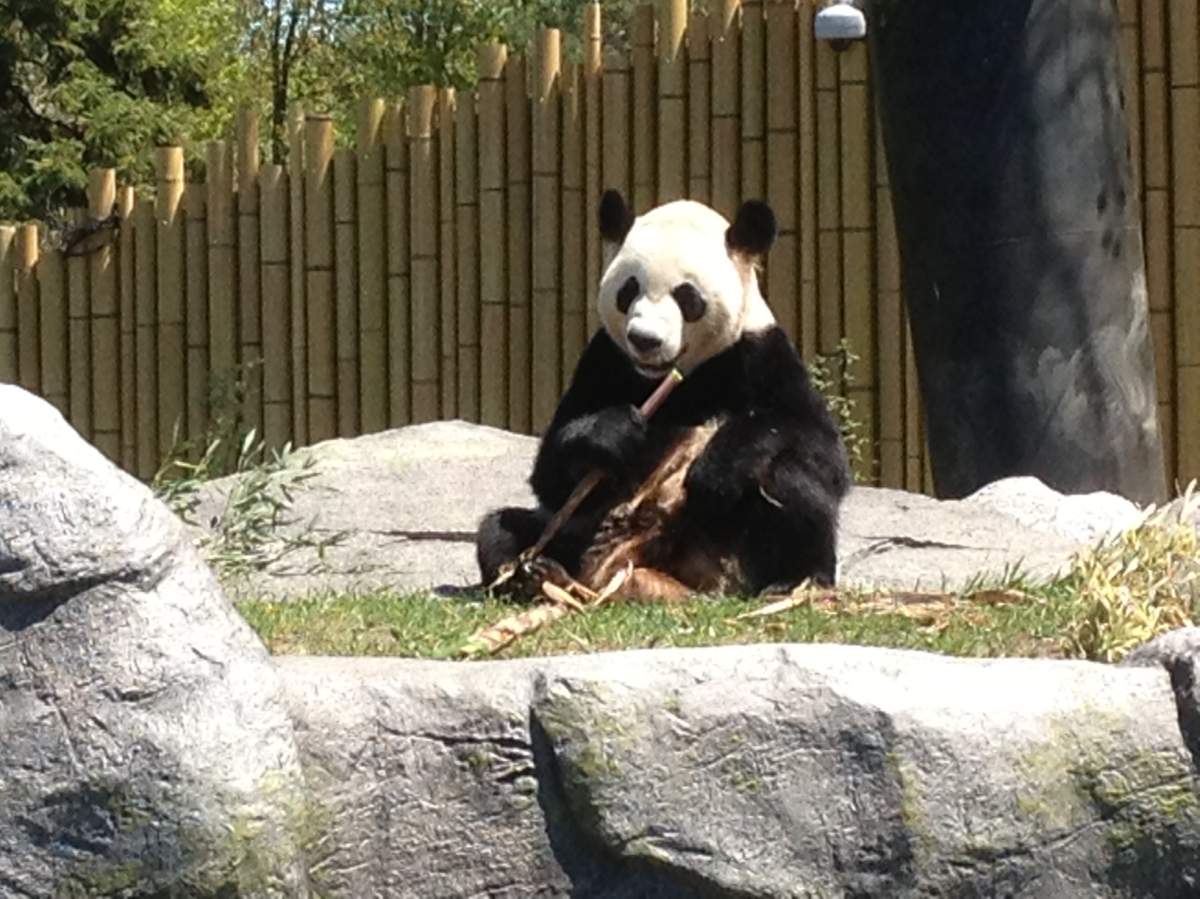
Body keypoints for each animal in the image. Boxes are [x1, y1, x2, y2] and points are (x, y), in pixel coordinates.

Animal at [476, 189, 851, 600]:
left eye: (688, 298)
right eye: (628, 291)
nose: (644, 340)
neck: (679, 377)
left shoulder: (761, 353)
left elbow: (818, 446)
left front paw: (715, 470)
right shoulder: (604, 360)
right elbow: (553, 475)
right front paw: (616, 432)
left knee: (788, 482)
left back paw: (794, 582)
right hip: (580, 532)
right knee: (503, 529)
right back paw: (535, 574)